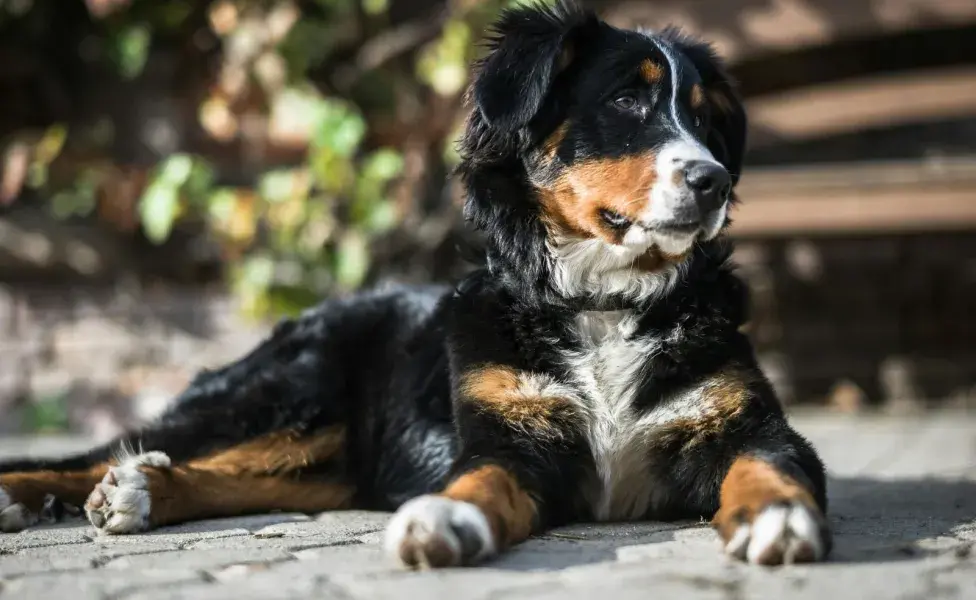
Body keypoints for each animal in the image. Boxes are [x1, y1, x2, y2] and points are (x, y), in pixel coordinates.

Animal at [0, 1, 832, 568]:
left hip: (323, 458)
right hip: (283, 394)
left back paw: (144, 491)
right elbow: (476, 482)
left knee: (229, 475)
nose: (713, 180)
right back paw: (40, 492)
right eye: (628, 100)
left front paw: (776, 519)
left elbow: (769, 465)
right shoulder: (511, 439)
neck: (603, 303)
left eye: (706, 119)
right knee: (115, 451)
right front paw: (446, 521)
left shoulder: (749, 425)